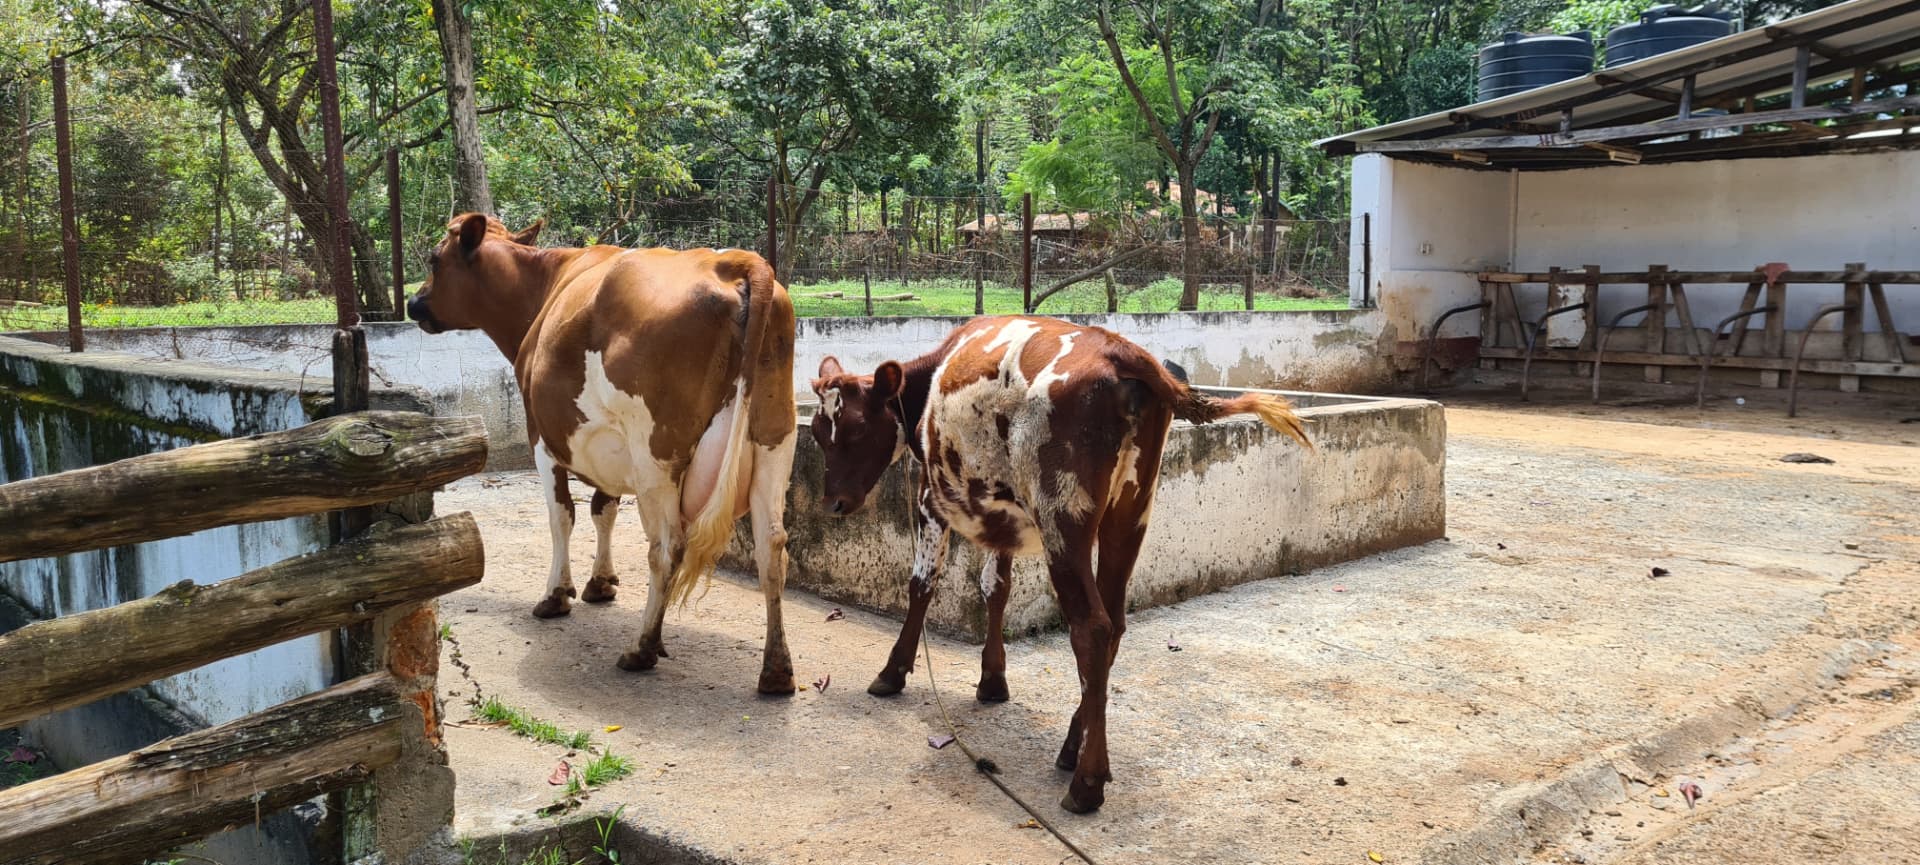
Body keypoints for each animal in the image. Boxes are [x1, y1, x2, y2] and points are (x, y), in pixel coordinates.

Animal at [408, 214, 800, 694]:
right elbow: (603, 508)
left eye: (434, 259)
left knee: (666, 547)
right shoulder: (608, 442)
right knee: (772, 546)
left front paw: (556, 595)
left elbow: (562, 516)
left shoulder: (542, 437)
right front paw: (602, 582)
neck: (545, 284)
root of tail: (736, 263)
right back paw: (776, 670)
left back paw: (642, 647)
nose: (414, 302)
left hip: (656, 455)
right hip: (774, 441)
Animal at [809, 316, 1310, 812]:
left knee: (1092, 628)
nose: (833, 504)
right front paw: (992, 680)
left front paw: (892, 672)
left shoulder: (932, 497)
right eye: (816, 434)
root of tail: (1122, 351)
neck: (929, 383)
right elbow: (996, 587)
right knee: (1115, 623)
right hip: (1130, 513)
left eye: (855, 430)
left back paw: (1087, 781)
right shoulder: (1001, 514)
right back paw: (1074, 746)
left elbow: (921, 584)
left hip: (1063, 519)